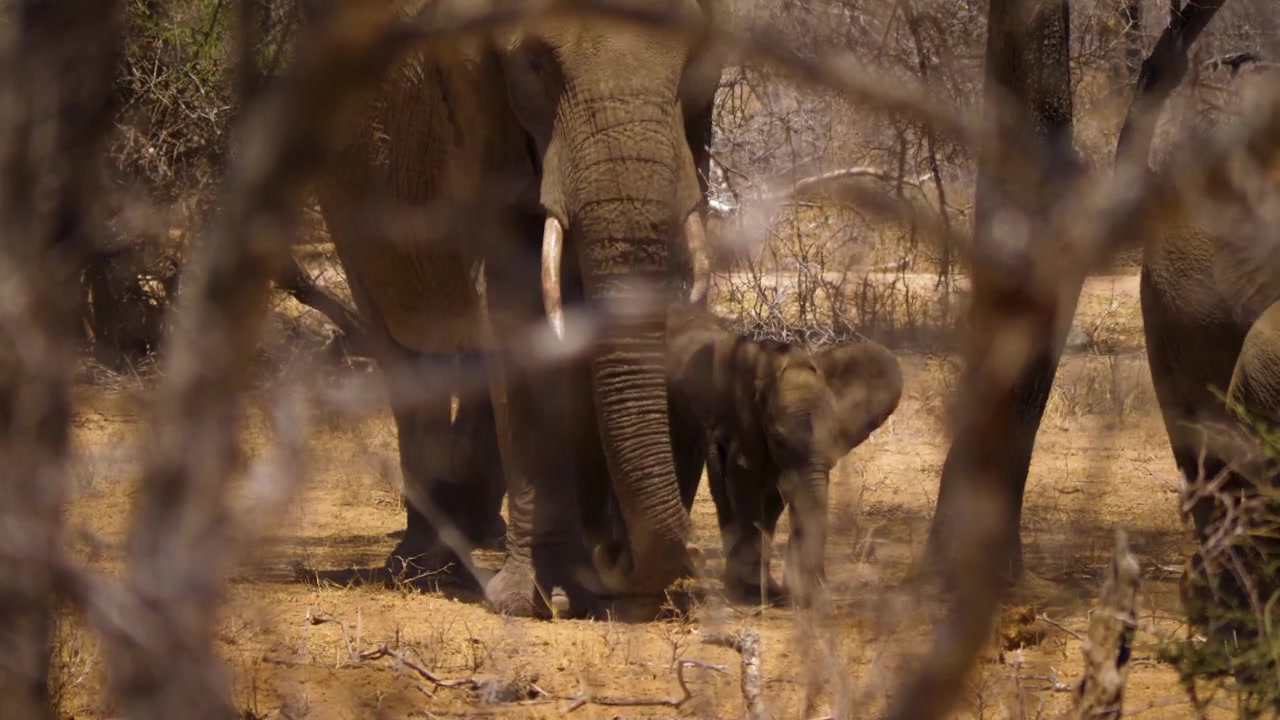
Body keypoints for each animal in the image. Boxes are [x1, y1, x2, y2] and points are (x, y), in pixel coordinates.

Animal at [309, 0, 726, 617]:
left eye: (691, 59)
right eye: (535, 64)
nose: (617, 558)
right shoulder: (476, 118)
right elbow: (518, 302)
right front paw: (544, 599)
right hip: (346, 198)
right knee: (408, 350)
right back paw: (420, 568)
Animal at [662, 305, 904, 605]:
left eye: (835, 437)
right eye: (777, 438)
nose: (814, 590)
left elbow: (780, 497)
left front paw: (791, 592)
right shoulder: (744, 428)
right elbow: (745, 487)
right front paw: (754, 592)